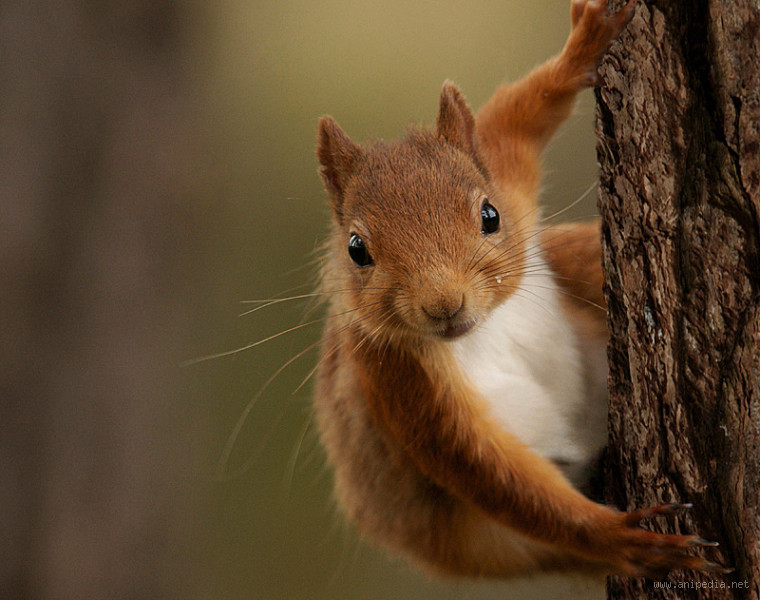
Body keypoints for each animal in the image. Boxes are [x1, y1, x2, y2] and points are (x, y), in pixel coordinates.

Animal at [312, 0, 720, 580]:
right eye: (356, 249)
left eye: (490, 215)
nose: (443, 304)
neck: (482, 330)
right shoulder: (399, 381)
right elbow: (493, 474)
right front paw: (623, 538)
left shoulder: (505, 175)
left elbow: (514, 119)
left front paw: (582, 47)